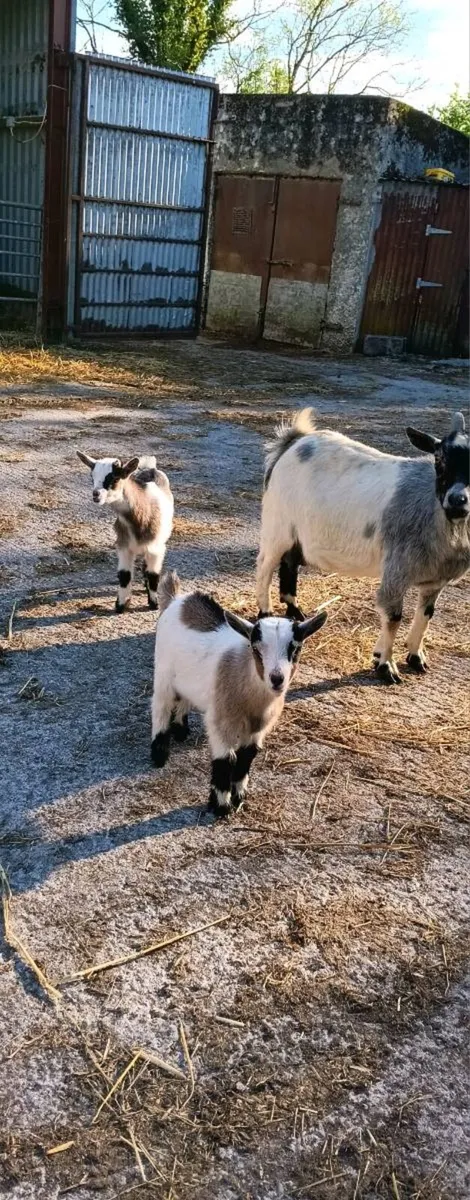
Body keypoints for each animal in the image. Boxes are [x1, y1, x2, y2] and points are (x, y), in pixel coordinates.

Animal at [77, 452, 174, 612]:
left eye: (115, 478)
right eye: (92, 476)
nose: (96, 495)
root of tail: (150, 468)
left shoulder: (156, 548)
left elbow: (153, 575)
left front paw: (154, 604)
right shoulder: (123, 545)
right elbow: (124, 575)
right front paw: (120, 605)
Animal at [150, 571, 327, 816]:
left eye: (295, 648)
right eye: (255, 648)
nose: (277, 678)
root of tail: (177, 599)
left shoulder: (258, 728)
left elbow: (247, 756)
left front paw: (239, 795)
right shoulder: (220, 723)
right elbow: (226, 760)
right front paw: (221, 806)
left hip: (185, 678)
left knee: (184, 697)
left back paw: (181, 729)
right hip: (163, 672)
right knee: (161, 705)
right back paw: (159, 752)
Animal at [256, 409, 469, 684]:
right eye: (439, 460)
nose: (457, 501)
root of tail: (296, 440)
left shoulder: (435, 579)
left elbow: (426, 614)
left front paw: (415, 657)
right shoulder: (396, 570)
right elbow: (393, 617)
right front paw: (385, 665)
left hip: (296, 534)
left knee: (290, 563)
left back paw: (294, 610)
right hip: (277, 526)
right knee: (265, 566)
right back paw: (266, 611)